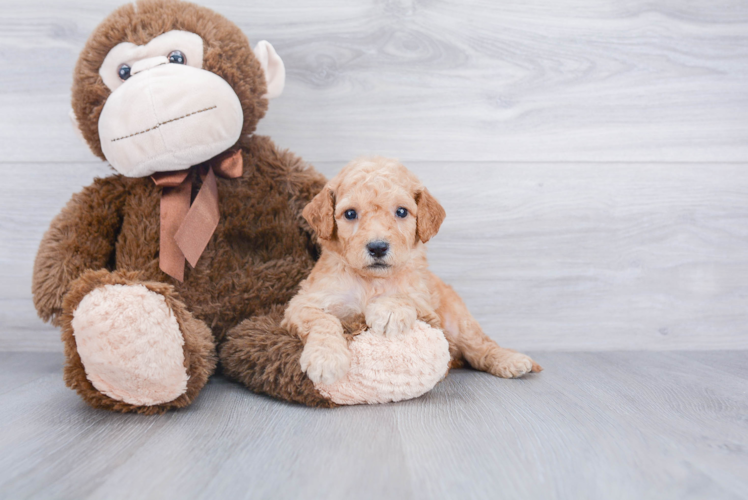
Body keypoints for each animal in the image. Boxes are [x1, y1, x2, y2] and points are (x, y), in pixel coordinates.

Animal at [284, 158, 540, 384]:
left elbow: (406, 298)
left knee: (480, 348)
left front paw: (388, 310)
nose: (378, 247)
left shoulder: (426, 306)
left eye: (401, 212)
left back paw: (511, 361)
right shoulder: (303, 303)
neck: (372, 281)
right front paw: (326, 358)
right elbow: (323, 320)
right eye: (350, 214)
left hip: (460, 322)